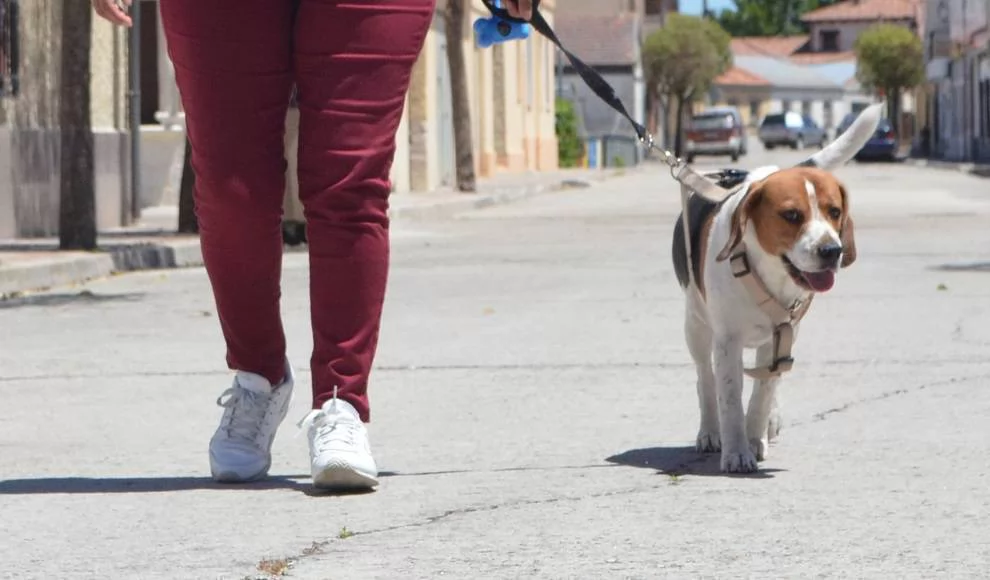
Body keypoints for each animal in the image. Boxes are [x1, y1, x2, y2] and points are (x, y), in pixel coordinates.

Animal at [676, 104, 884, 474]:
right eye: (791, 215)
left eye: (834, 211)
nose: (832, 251)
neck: (767, 271)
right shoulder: (726, 341)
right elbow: (729, 397)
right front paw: (736, 451)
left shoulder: (784, 334)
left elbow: (763, 392)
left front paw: (755, 435)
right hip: (696, 328)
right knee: (705, 378)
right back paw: (710, 432)